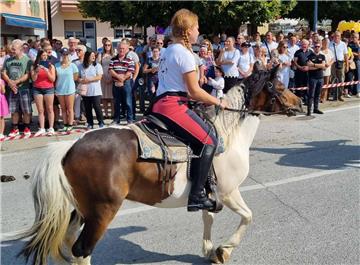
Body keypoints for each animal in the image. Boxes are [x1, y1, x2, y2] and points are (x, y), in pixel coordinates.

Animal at [7, 65, 302, 262]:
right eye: (279, 86)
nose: (299, 102)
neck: (227, 133)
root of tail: (70, 146)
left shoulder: (213, 194)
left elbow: (208, 217)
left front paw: (210, 249)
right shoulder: (229, 192)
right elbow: (248, 216)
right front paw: (223, 250)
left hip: (83, 207)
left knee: (68, 240)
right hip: (102, 211)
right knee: (81, 250)